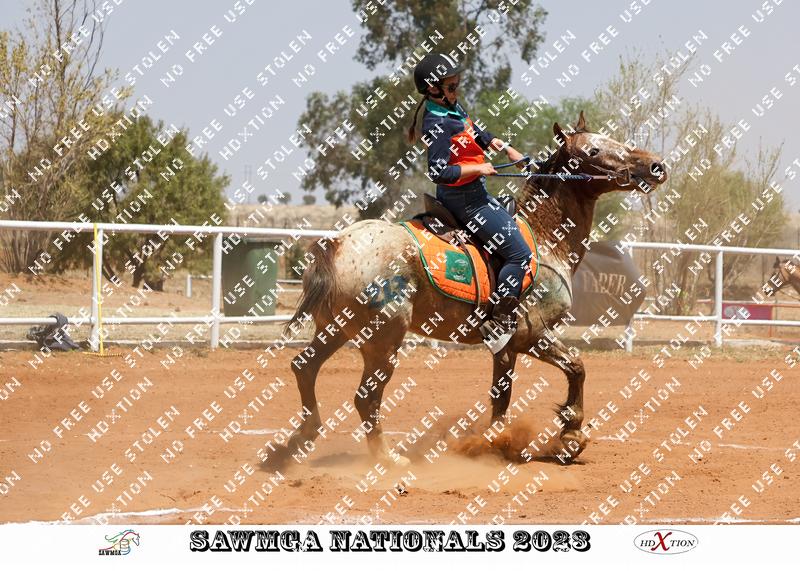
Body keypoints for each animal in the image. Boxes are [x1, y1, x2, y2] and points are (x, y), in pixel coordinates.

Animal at [278, 111, 668, 468]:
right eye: (593, 149)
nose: (656, 165)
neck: (543, 241)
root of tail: (338, 243)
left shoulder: (506, 346)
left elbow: (502, 394)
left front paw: (499, 440)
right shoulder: (532, 335)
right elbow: (575, 366)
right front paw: (569, 435)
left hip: (335, 329)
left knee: (304, 368)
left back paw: (300, 439)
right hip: (382, 339)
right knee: (365, 397)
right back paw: (387, 458)